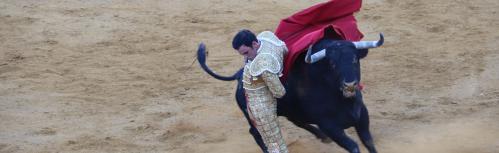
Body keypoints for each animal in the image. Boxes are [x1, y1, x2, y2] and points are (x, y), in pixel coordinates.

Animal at [197, 34, 384, 152]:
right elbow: (354, 146)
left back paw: (322, 137)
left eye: (355, 59)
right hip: (254, 116)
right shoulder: (330, 125)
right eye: (332, 64)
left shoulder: (362, 116)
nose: (350, 85)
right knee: (257, 133)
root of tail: (238, 75)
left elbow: (369, 143)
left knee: (297, 122)